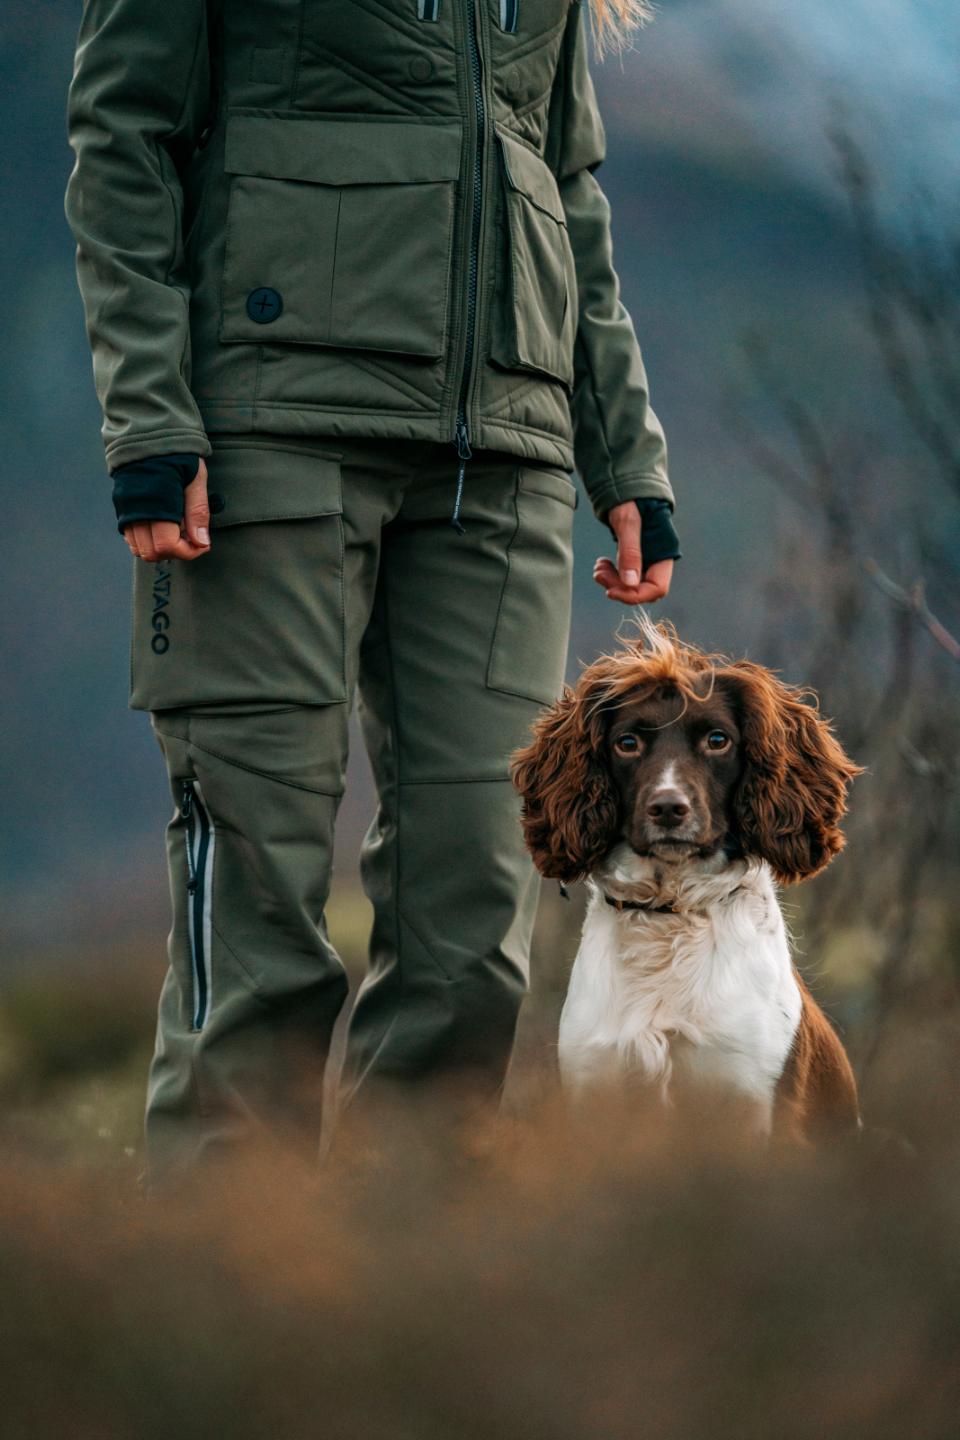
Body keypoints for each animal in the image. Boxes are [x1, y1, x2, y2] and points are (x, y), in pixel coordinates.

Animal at [515, 619, 869, 1146]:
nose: (668, 808)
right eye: (627, 743)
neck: (671, 913)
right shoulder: (592, 1092)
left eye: (717, 740)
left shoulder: (754, 1101)